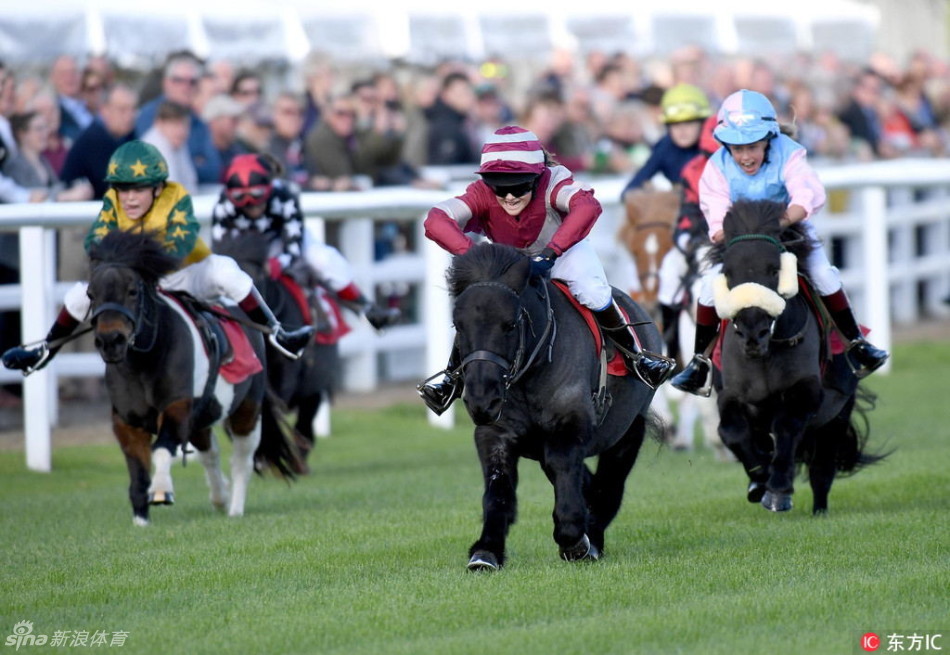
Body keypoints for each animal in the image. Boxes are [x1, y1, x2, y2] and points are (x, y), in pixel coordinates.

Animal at [89, 228, 300, 524]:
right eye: (90, 294)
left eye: (132, 291)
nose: (110, 340)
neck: (144, 363)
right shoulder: (126, 421)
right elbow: (138, 474)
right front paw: (141, 520)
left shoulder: (177, 407)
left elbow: (162, 449)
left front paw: (162, 490)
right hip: (203, 416)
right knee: (209, 453)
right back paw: (220, 496)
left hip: (247, 408)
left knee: (242, 458)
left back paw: (235, 508)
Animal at [446, 243, 660, 572]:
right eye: (458, 325)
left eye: (510, 325)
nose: (482, 399)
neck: (530, 371)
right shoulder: (494, 432)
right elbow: (498, 487)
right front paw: (487, 549)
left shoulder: (570, 423)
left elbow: (564, 465)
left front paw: (573, 537)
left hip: (628, 431)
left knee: (609, 485)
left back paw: (593, 536)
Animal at [712, 197, 880, 516]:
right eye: (728, 272)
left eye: (774, 270)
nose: (753, 333)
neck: (765, 356)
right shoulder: (732, 394)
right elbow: (731, 431)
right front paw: (759, 478)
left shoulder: (806, 391)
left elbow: (787, 427)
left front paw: (777, 490)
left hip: (837, 415)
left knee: (822, 468)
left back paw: (819, 511)